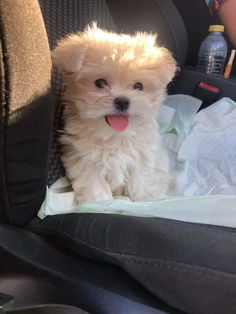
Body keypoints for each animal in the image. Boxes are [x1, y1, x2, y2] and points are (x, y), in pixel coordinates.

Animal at [52, 23, 176, 202]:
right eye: (100, 83)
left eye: (139, 86)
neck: (114, 137)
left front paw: (142, 199)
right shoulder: (86, 160)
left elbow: (141, 179)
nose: (122, 101)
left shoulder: (143, 156)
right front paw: (99, 203)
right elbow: (95, 186)